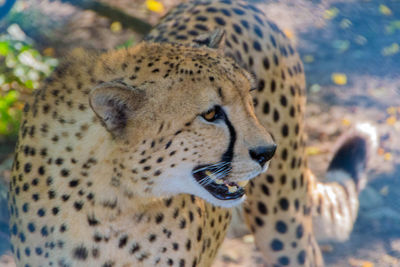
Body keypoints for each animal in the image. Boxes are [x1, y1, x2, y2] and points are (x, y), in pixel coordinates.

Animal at [9, 0, 376, 267]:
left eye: (249, 98)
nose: (267, 152)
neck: (113, 201)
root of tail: (237, 4)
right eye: (211, 114)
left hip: (283, 222)